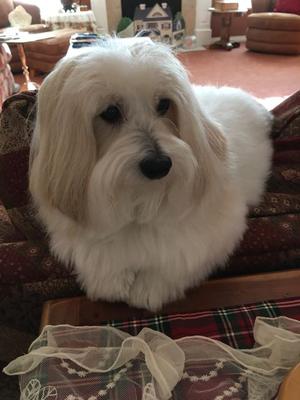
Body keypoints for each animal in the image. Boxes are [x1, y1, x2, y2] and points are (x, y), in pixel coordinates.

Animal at [29, 39, 274, 310]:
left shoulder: (219, 230)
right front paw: (110, 282)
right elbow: (102, 258)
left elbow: (179, 258)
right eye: (110, 112)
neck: (141, 196)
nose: (159, 165)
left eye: (164, 104)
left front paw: (150, 286)